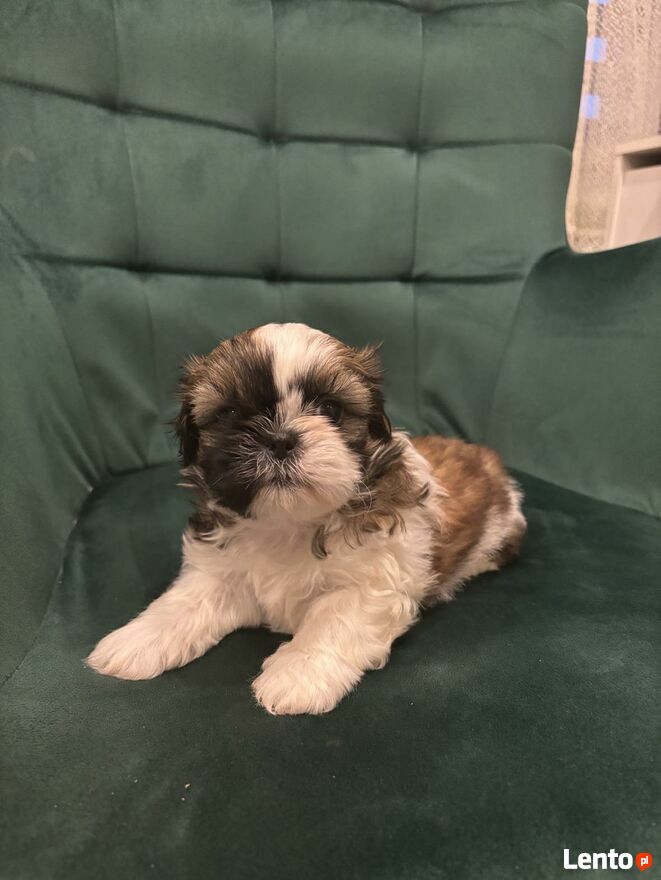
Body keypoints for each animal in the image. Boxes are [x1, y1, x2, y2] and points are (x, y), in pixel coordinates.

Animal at [87, 323, 526, 714]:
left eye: (329, 408)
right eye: (230, 412)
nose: (279, 439)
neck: (288, 521)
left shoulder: (376, 580)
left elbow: (334, 618)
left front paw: (298, 675)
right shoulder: (220, 568)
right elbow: (187, 600)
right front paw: (138, 639)